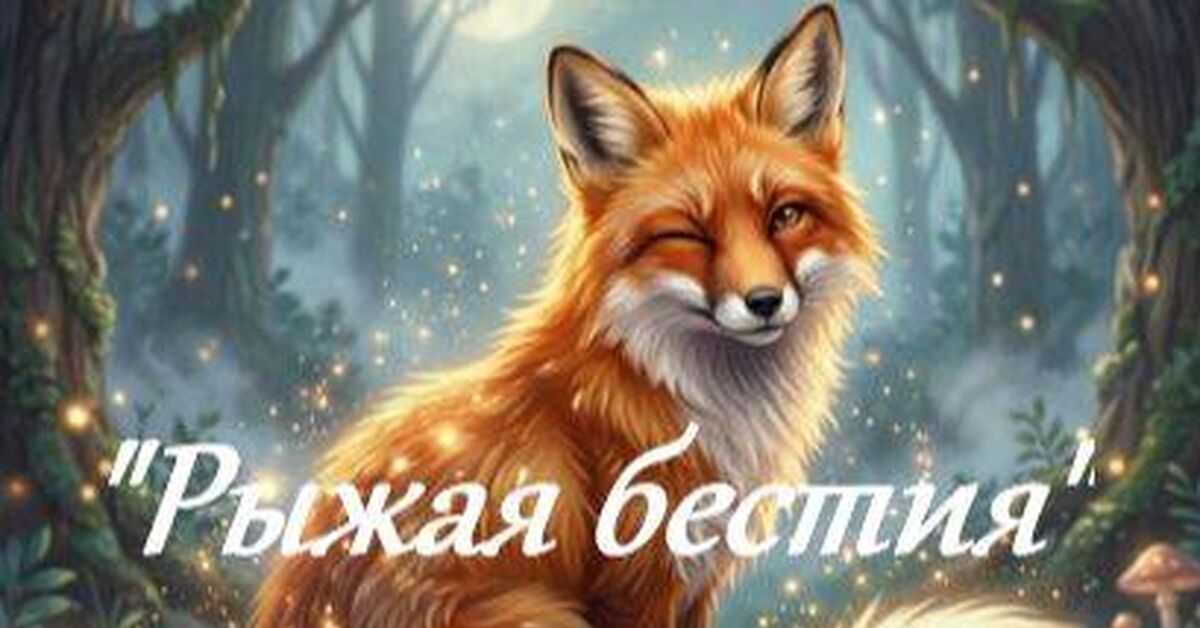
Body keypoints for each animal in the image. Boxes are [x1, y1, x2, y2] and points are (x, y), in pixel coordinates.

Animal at [254, 4, 1072, 627]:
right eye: (690, 234)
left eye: (783, 216)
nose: (765, 302)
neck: (693, 400)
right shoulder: (636, 584)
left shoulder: (695, 583)